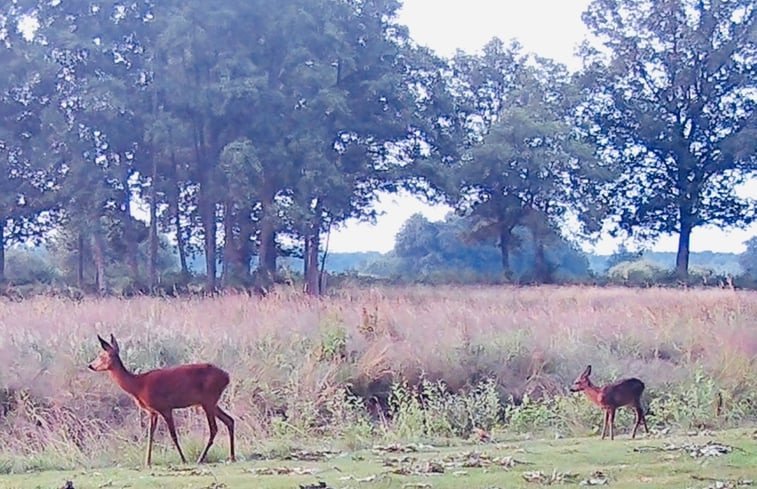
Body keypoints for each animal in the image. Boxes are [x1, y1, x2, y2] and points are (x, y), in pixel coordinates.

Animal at [87, 336, 233, 466]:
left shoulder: (165, 407)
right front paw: (148, 462)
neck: (138, 386)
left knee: (214, 428)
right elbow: (150, 435)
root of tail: (227, 377)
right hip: (210, 402)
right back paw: (231, 457)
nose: (90, 365)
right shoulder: (153, 412)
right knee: (229, 420)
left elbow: (173, 435)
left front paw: (183, 460)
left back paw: (201, 459)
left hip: (208, 399)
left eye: (102, 356)